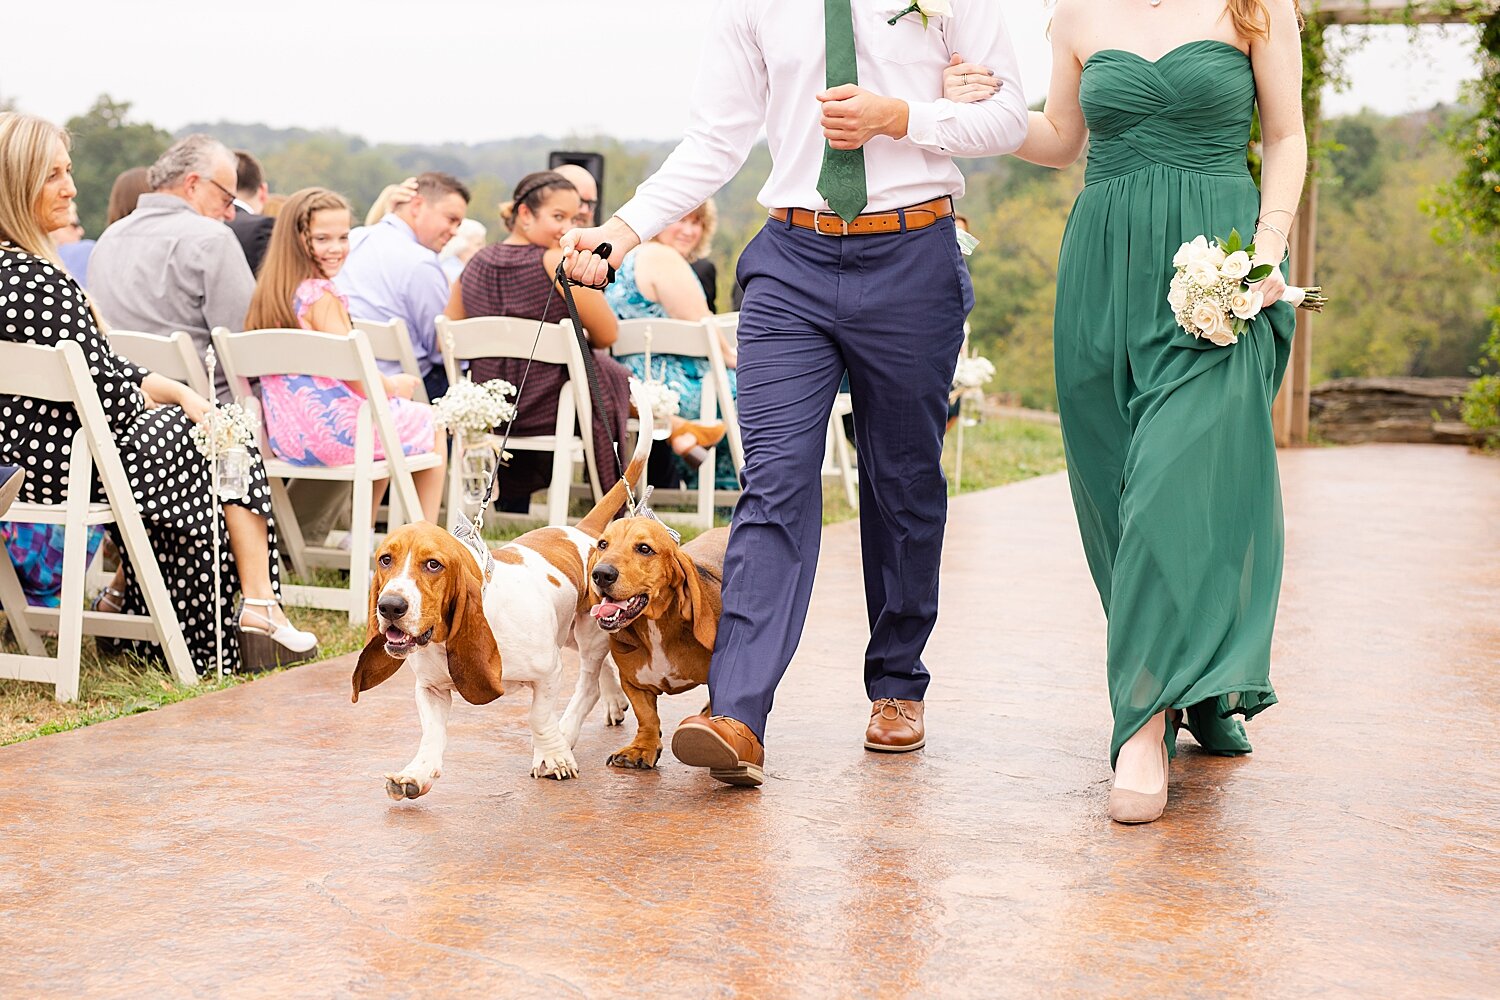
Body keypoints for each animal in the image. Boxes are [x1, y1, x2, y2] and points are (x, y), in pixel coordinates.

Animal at [351, 449, 645, 803]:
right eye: (385, 559)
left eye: (433, 564)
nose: (391, 606)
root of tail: (581, 530)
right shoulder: (430, 689)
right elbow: (431, 734)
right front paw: (417, 774)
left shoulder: (548, 672)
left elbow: (538, 717)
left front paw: (553, 757)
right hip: (573, 633)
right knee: (602, 670)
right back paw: (613, 701)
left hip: (590, 630)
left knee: (589, 684)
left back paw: (566, 733)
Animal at [564, 521, 729, 773]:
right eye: (603, 544)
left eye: (644, 548)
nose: (601, 574)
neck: (655, 626)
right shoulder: (633, 682)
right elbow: (647, 716)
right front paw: (641, 748)